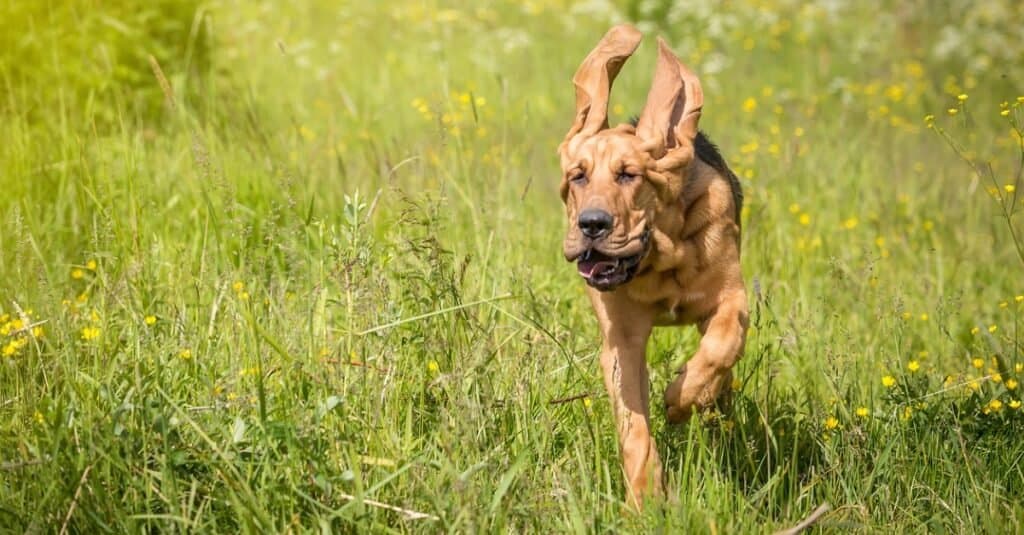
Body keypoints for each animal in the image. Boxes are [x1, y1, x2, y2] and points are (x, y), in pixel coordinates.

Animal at [557, 26, 749, 508]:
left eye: (630, 175)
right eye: (578, 176)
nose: (592, 225)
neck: (660, 262)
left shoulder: (732, 298)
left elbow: (720, 347)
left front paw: (681, 398)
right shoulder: (621, 342)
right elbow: (634, 427)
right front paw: (646, 501)